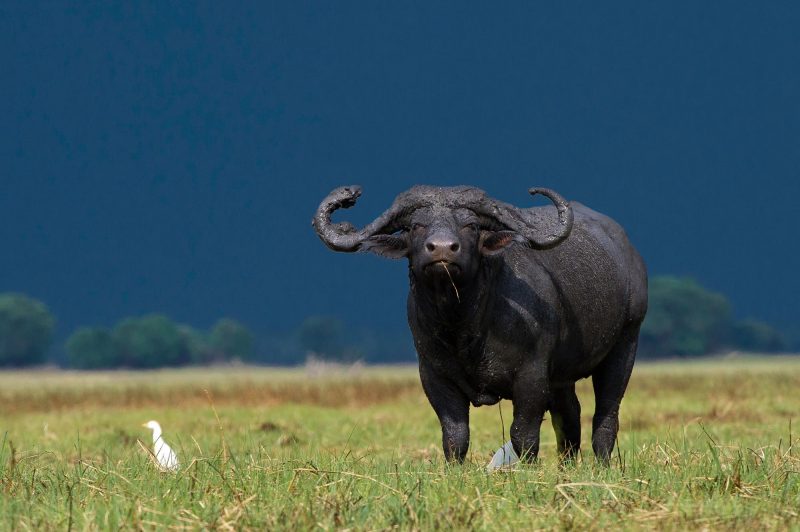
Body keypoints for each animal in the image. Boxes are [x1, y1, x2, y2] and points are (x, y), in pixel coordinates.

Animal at [313, 185, 647, 463]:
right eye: (416, 226)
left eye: (470, 226)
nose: (443, 248)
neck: (463, 326)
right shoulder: (434, 376)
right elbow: (455, 436)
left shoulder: (532, 376)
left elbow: (523, 435)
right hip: (563, 376)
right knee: (569, 416)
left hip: (625, 344)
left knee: (606, 414)